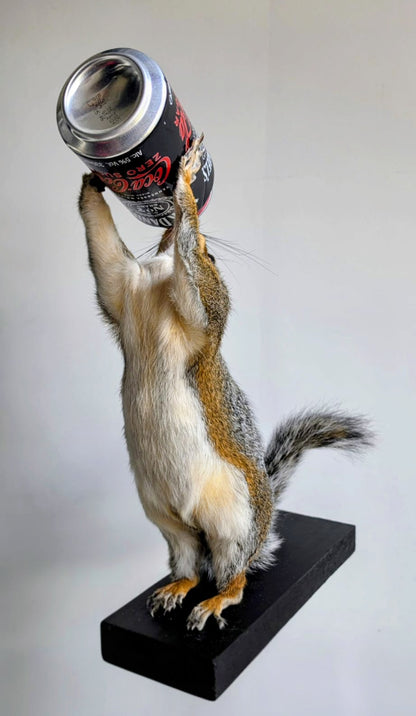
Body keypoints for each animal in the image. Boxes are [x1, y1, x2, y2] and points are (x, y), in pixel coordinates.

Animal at [78, 136, 372, 631]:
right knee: (191, 566)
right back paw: (177, 588)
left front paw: (184, 184)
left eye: (210, 253)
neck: (159, 280)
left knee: (232, 575)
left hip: (234, 520)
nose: (166, 233)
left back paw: (217, 600)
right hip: (166, 521)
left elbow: (193, 290)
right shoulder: (124, 288)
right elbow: (106, 255)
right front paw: (90, 184)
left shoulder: (206, 311)